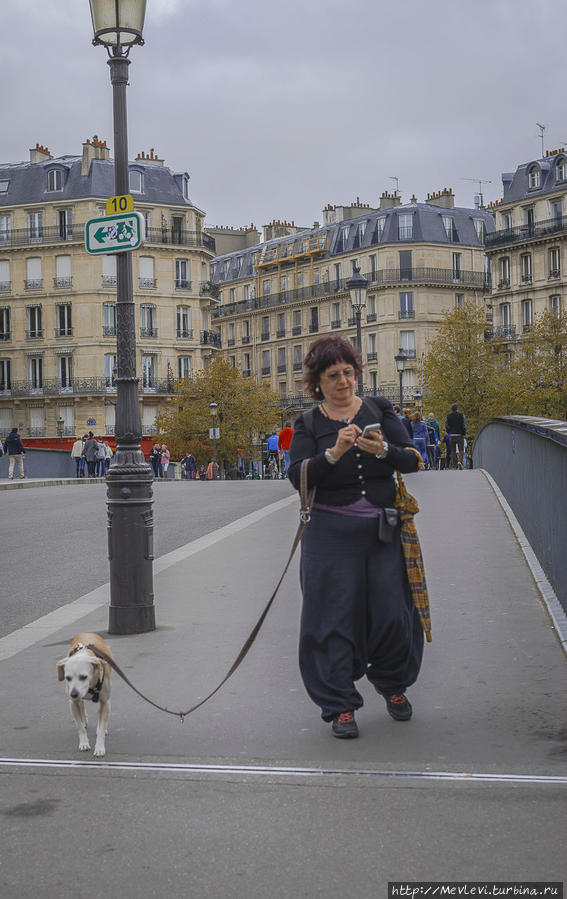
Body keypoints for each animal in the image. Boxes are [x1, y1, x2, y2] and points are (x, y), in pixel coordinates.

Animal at [57, 632, 113, 760]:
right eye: (68, 678)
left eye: (83, 677)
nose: (73, 694)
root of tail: (87, 633)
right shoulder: (72, 703)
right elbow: (80, 727)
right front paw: (83, 743)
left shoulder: (105, 702)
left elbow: (101, 729)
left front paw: (99, 748)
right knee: (81, 705)